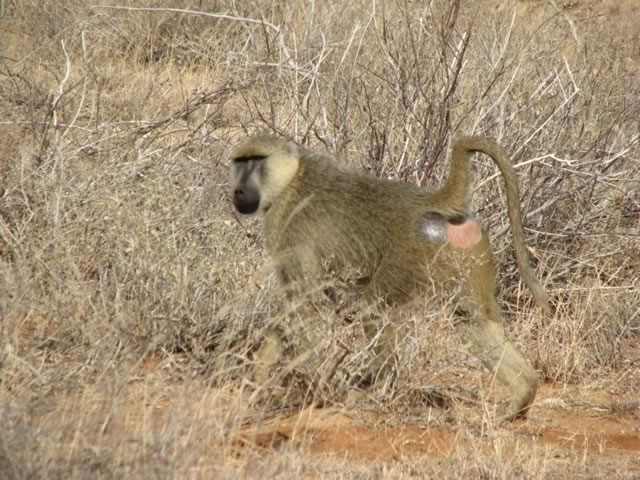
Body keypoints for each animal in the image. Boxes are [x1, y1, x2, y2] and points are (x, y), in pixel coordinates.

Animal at [229, 134, 552, 422]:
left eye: (256, 160)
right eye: (239, 162)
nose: (239, 193)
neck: (293, 176)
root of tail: (427, 200)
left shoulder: (287, 225)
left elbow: (307, 305)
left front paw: (303, 380)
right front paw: (258, 378)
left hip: (406, 258)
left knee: (376, 311)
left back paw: (372, 393)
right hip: (466, 252)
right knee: (473, 319)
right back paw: (522, 395)